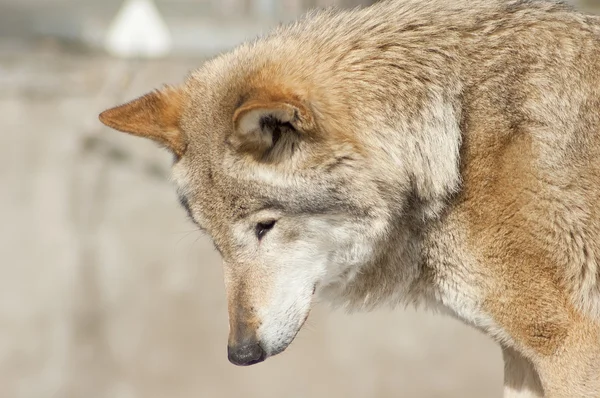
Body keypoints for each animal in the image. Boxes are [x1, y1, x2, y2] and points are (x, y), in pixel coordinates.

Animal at [98, 0, 600, 394]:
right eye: (215, 242)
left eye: (265, 227)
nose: (240, 353)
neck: (455, 141)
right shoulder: (520, 355)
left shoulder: (569, 349)